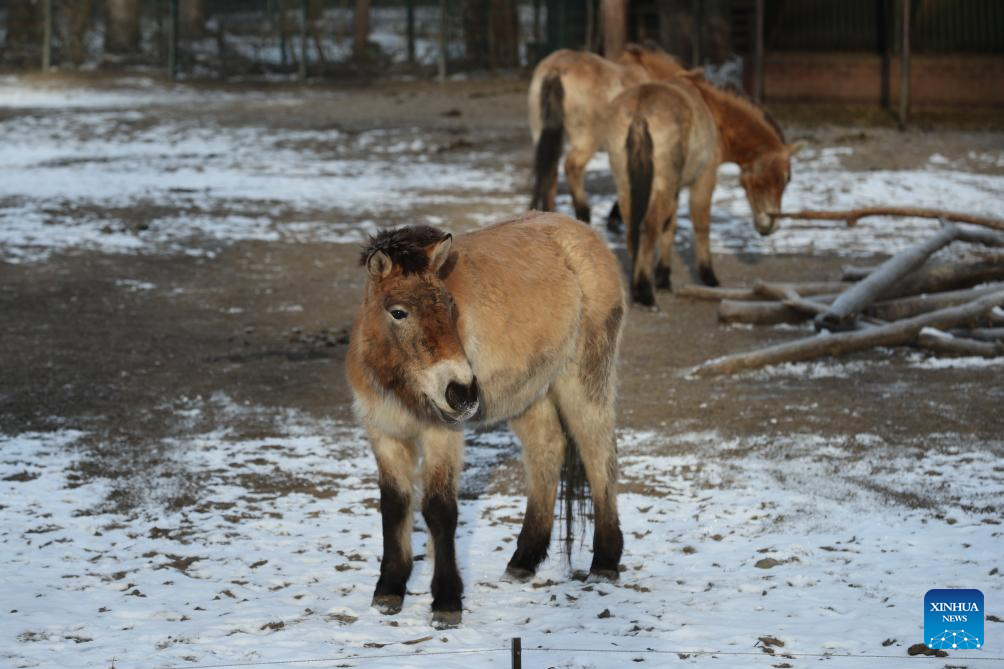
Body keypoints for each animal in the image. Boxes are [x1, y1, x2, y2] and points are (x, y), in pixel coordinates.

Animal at [346, 212, 626, 627]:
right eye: (398, 312)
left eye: (449, 306)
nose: (462, 392)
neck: (397, 381)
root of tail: (585, 236)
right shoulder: (384, 434)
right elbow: (394, 506)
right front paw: (389, 591)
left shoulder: (442, 433)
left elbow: (439, 510)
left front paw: (447, 601)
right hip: (529, 394)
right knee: (547, 450)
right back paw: (524, 560)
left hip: (583, 380)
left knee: (598, 454)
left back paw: (605, 562)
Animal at [528, 43, 684, 223]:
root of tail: (556, 68)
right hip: (586, 140)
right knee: (571, 166)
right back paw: (583, 212)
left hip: (541, 132)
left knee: (550, 171)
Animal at [605, 71, 805, 306]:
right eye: (786, 178)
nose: (768, 226)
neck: (714, 109)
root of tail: (639, 111)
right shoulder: (704, 179)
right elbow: (701, 226)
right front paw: (708, 277)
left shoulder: (675, 188)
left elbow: (669, 228)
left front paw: (663, 278)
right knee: (648, 227)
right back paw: (645, 293)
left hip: (628, 186)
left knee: (633, 228)